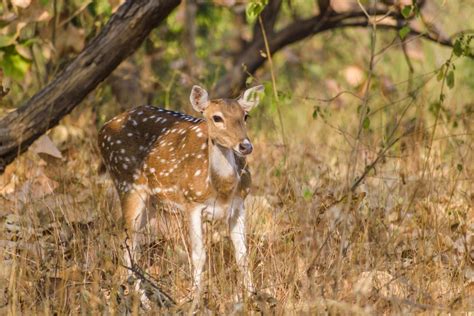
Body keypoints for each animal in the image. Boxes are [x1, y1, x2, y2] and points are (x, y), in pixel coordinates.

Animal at [98, 84, 264, 302]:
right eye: (216, 117)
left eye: (245, 116)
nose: (245, 146)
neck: (221, 189)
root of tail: (103, 129)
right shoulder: (191, 203)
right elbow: (198, 255)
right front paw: (194, 299)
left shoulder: (239, 205)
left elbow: (243, 255)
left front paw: (252, 297)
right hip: (126, 183)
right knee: (127, 244)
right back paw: (142, 300)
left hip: (151, 202)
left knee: (132, 246)